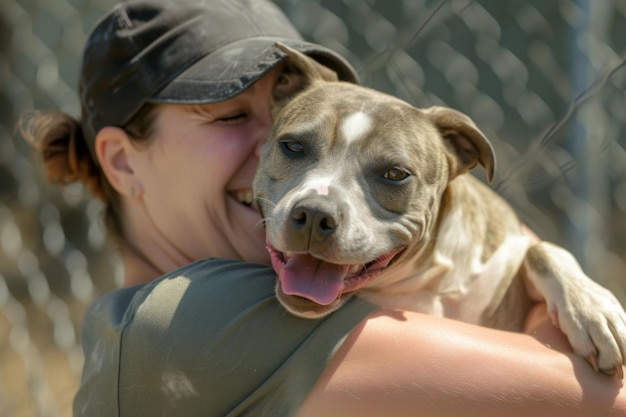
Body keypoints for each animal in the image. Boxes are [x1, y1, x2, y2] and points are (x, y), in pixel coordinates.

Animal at [252, 43, 624, 376]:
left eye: (395, 174)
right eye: (293, 146)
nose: (315, 214)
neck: (426, 283)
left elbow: (542, 249)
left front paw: (593, 311)